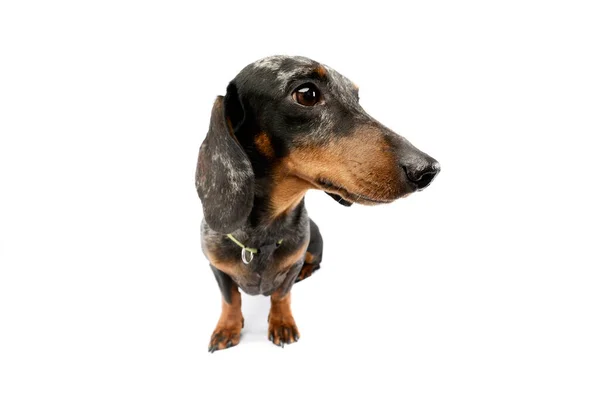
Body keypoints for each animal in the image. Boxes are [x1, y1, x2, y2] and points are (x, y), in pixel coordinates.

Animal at [197, 55, 440, 350]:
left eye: (356, 97)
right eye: (307, 94)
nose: (428, 169)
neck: (259, 239)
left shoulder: (293, 264)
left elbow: (281, 295)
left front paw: (282, 323)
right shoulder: (217, 268)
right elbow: (230, 299)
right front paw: (227, 328)